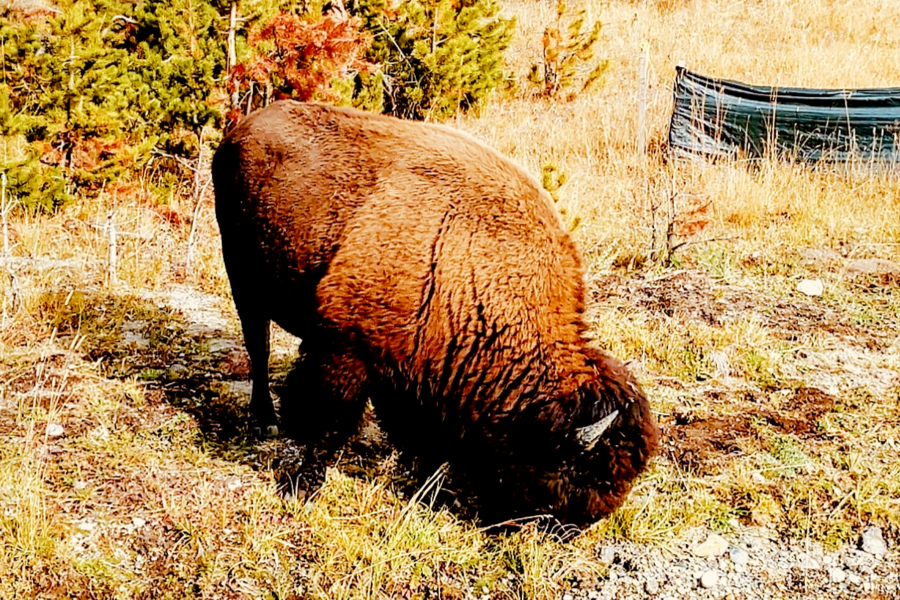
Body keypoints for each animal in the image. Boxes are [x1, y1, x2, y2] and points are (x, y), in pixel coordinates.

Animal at [212, 102, 660, 524]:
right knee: (258, 347)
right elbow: (330, 423)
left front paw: (427, 485)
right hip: (242, 280)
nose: (572, 527)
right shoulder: (347, 351)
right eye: (587, 471)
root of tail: (239, 130)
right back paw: (264, 420)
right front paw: (303, 487)